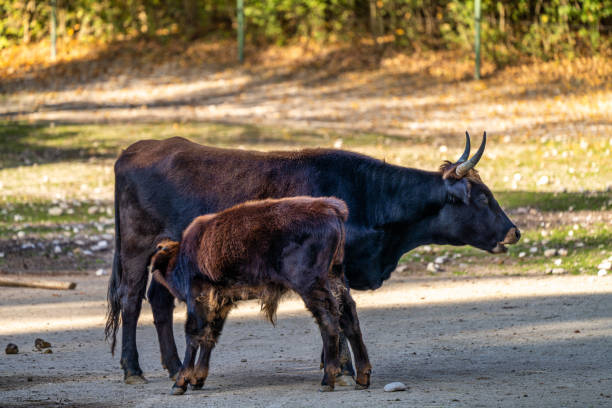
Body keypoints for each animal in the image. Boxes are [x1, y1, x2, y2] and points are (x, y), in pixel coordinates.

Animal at [149, 198, 372, 396]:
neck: (185, 253)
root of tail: (332, 209)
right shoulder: (222, 302)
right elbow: (210, 336)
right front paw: (197, 380)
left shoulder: (199, 297)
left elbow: (194, 334)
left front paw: (180, 383)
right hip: (335, 277)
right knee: (349, 319)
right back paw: (362, 378)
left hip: (311, 286)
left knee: (329, 322)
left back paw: (327, 380)